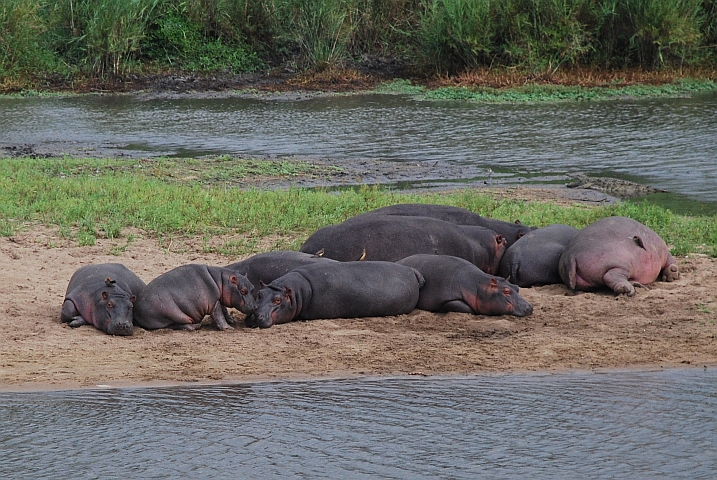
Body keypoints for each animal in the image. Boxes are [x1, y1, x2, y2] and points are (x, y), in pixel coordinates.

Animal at [397, 254, 533, 316]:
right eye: (506, 291)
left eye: (517, 288)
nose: (530, 307)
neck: (479, 286)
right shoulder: (450, 298)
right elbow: (465, 308)